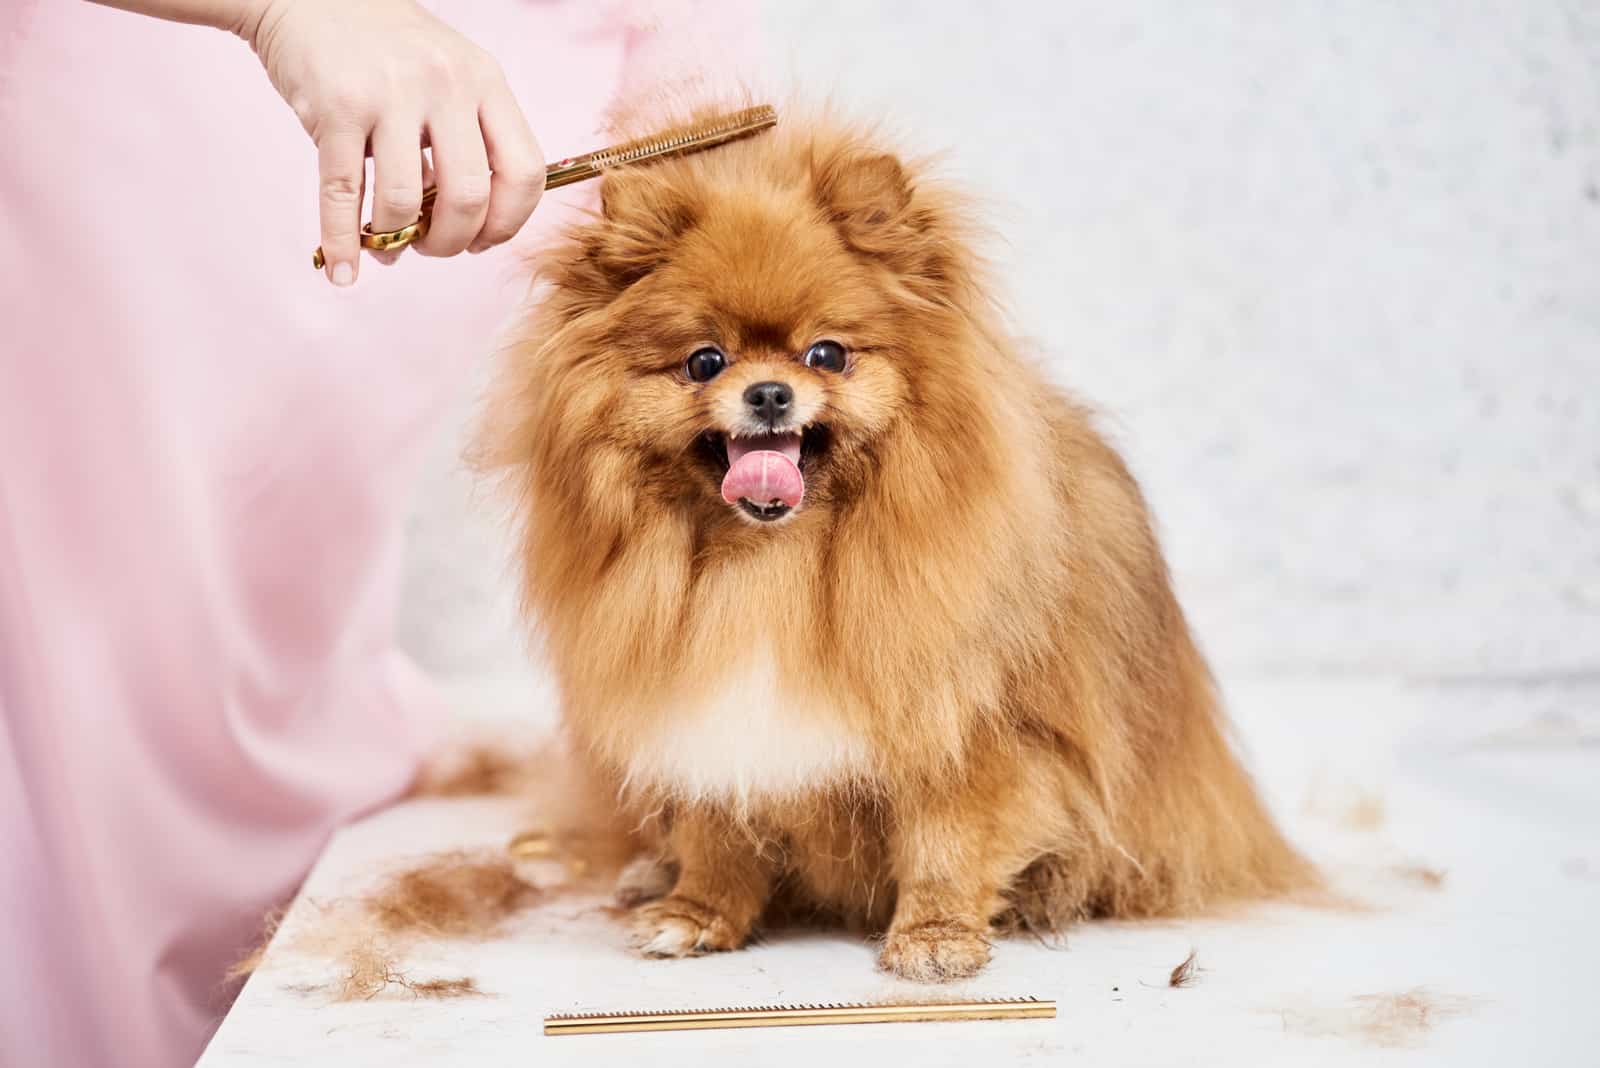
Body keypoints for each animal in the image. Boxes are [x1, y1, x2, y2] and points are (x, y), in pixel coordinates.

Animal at [480, 103, 1318, 978]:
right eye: (704, 361)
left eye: (828, 354)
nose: (769, 392)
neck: (771, 562)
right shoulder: (707, 717)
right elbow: (718, 834)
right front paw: (697, 912)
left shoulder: (972, 733)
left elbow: (948, 842)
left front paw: (935, 936)